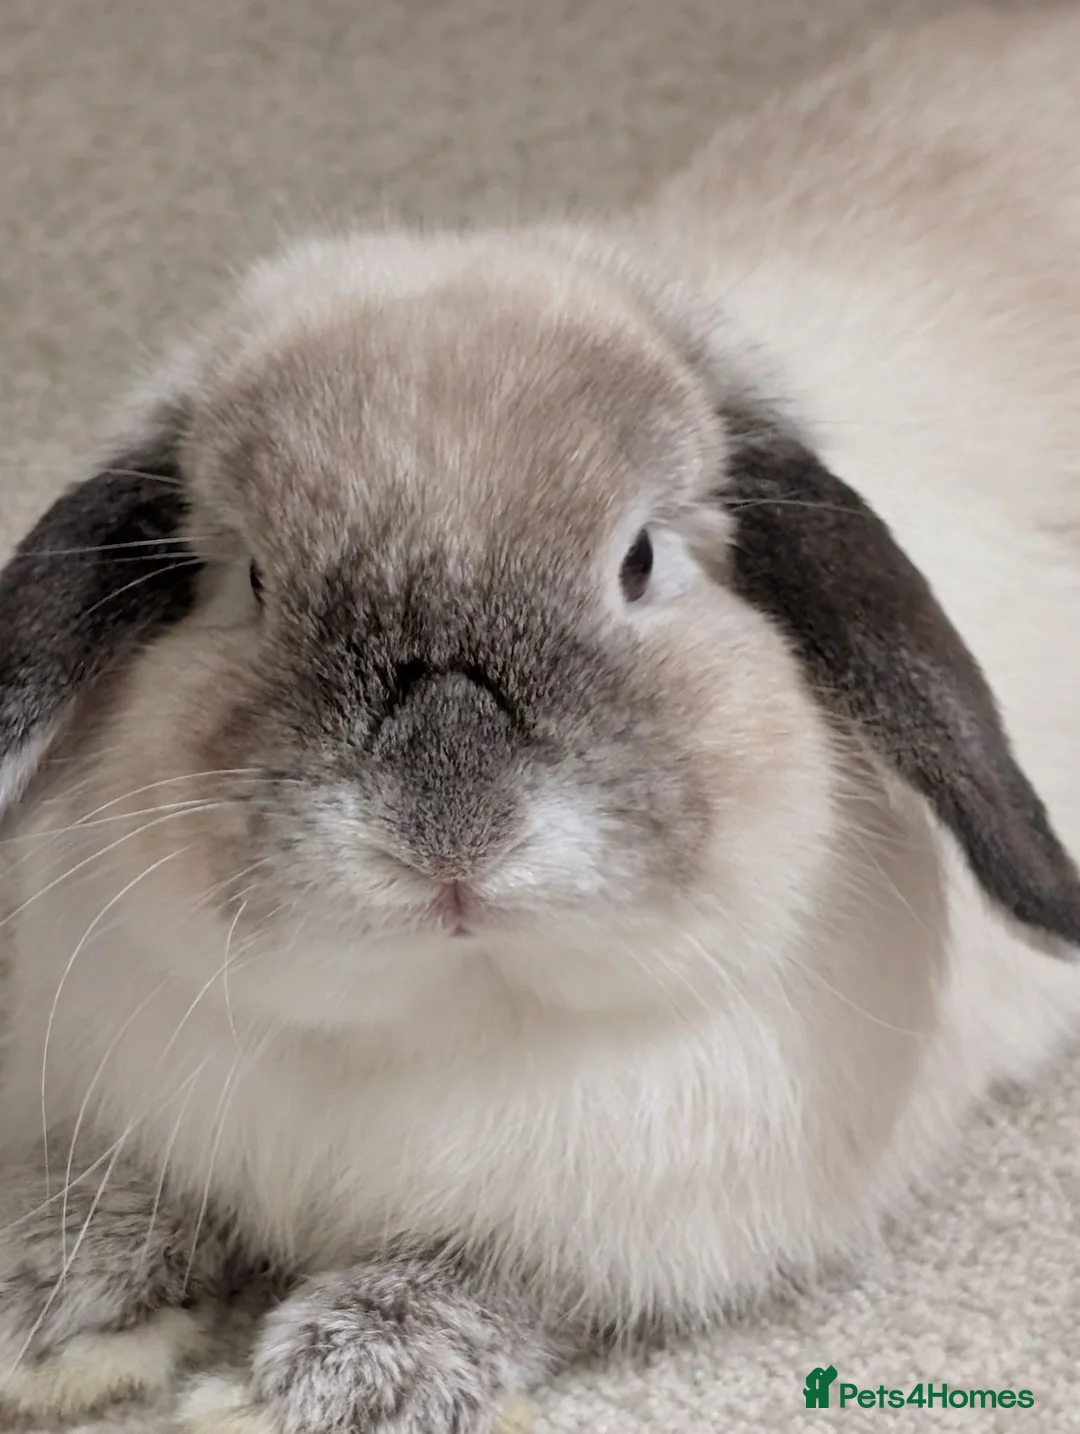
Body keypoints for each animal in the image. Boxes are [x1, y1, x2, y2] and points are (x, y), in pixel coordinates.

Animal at [3, 6, 1080, 1432]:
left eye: (639, 562)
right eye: (250, 583)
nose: (449, 826)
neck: (441, 1020)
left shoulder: (618, 1226)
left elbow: (479, 1280)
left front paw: (317, 1385)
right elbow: (115, 1191)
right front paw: (43, 1315)